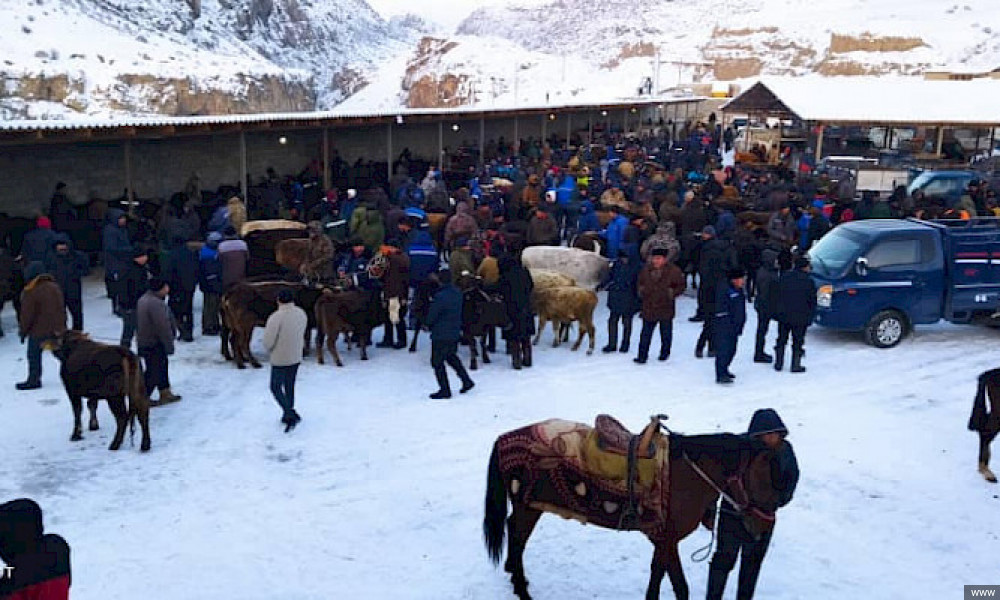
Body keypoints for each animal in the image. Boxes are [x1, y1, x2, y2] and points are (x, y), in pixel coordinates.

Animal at [484, 418, 780, 600]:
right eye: (762, 479)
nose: (765, 526)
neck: (685, 475)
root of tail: (503, 439)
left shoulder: (661, 539)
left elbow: (657, 575)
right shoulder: (668, 539)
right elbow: (680, 587)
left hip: (526, 506)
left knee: (513, 531)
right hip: (528, 506)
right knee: (518, 539)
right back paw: (521, 588)